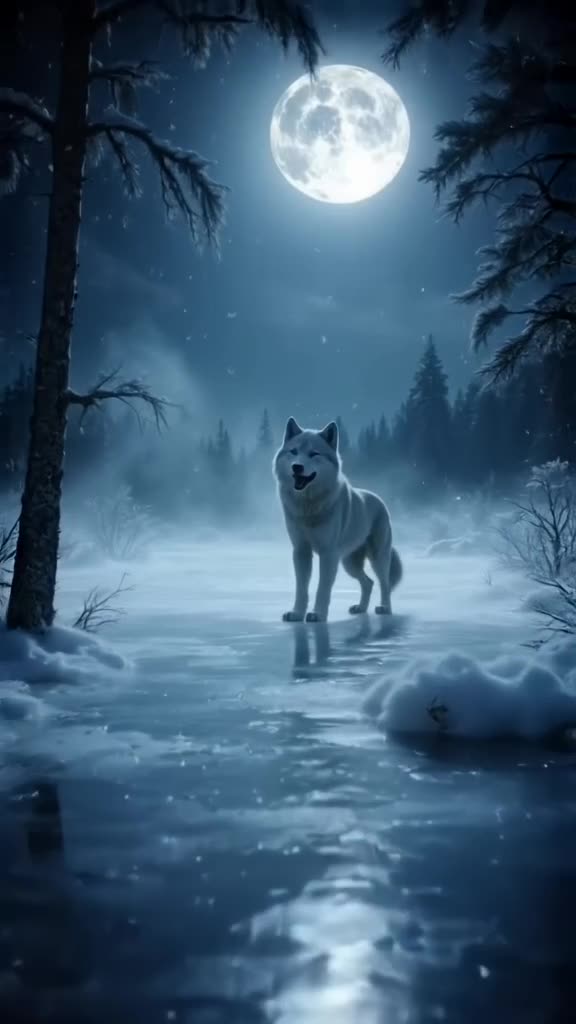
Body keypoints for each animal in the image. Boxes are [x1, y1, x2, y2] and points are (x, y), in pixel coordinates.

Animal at [273, 417, 402, 623]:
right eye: (293, 452)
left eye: (314, 454)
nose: (297, 467)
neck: (309, 506)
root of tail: (378, 499)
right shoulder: (301, 551)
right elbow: (301, 588)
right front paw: (297, 613)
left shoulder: (328, 554)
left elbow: (322, 588)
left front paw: (317, 614)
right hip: (349, 564)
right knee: (368, 582)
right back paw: (360, 608)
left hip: (377, 558)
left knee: (384, 583)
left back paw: (385, 609)